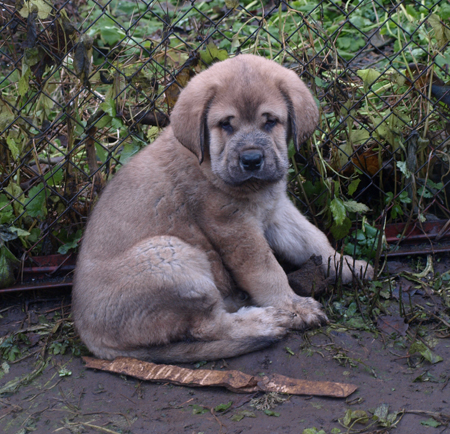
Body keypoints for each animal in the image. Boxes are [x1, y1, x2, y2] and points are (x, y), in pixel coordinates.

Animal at [72, 56, 370, 364]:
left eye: (270, 122)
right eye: (226, 124)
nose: (251, 160)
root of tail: (93, 340)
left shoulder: (276, 211)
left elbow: (312, 238)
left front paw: (347, 264)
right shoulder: (234, 227)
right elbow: (267, 270)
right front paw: (293, 307)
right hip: (169, 255)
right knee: (208, 326)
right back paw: (263, 322)